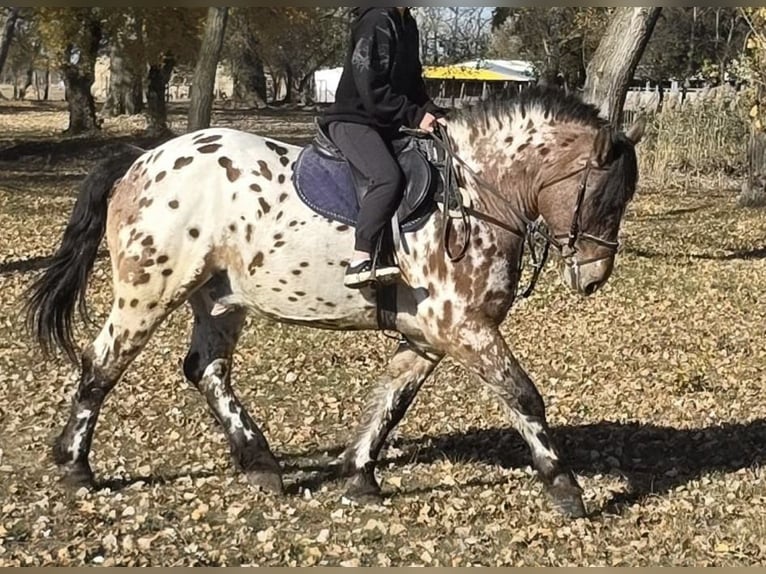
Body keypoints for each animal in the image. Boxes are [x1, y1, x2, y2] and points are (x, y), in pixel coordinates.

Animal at [23, 86, 644, 519]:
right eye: (605, 199)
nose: (593, 278)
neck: (474, 193)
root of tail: (141, 159)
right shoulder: (464, 328)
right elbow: (523, 396)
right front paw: (565, 488)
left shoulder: (428, 335)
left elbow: (392, 401)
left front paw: (359, 475)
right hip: (149, 291)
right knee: (102, 365)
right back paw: (75, 465)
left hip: (218, 300)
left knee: (206, 370)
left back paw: (261, 464)